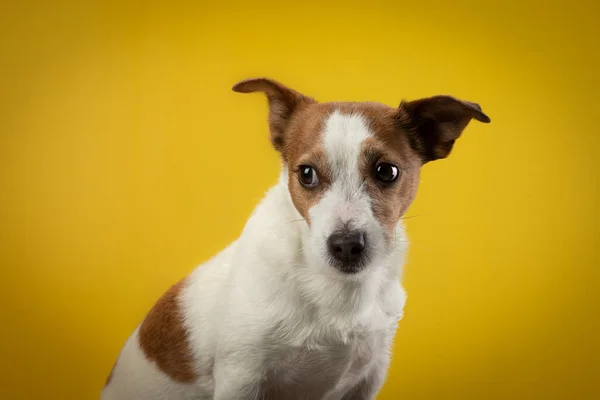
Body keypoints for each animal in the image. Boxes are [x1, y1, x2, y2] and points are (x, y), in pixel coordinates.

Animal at [102, 76, 488, 398]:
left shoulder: (368, 376)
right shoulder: (241, 377)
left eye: (387, 171)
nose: (346, 245)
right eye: (306, 174)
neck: (336, 290)